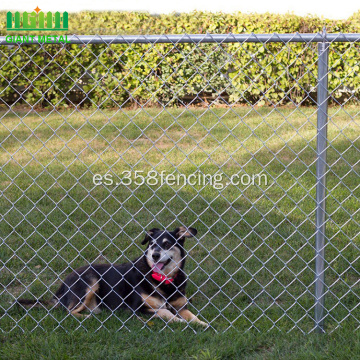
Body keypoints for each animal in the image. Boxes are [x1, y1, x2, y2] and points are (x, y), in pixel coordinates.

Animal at [17, 228, 208, 326]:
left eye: (167, 244)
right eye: (152, 244)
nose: (154, 255)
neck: (164, 280)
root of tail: (62, 287)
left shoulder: (181, 306)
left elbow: (192, 316)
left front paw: (202, 323)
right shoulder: (138, 308)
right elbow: (165, 311)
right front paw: (180, 322)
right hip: (90, 281)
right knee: (67, 311)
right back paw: (87, 317)